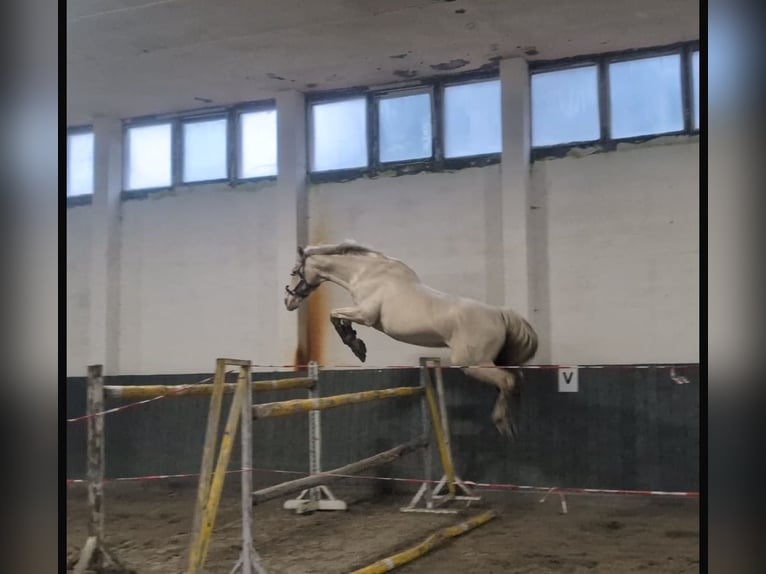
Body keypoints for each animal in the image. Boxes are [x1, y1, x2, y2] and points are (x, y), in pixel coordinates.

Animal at [284, 241, 538, 437]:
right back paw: (514, 422)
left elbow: (334, 314)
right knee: (517, 380)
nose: (288, 302)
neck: (365, 273)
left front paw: (356, 346)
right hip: (495, 361)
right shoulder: (361, 314)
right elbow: (338, 318)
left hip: (472, 364)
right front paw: (357, 344)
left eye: (294, 272)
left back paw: (502, 423)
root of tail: (502, 314)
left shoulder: (365, 314)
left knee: (507, 381)